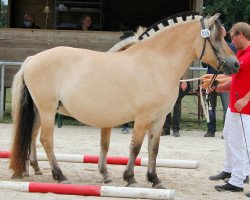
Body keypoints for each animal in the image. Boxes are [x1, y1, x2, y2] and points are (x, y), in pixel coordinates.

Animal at [9, 12, 239, 189]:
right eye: (217, 38)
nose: (235, 65)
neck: (156, 62)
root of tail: (32, 59)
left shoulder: (158, 119)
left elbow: (153, 149)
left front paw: (154, 179)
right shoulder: (143, 118)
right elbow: (135, 148)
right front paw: (130, 178)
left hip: (40, 111)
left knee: (32, 136)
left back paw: (32, 169)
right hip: (47, 110)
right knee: (46, 140)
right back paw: (60, 175)